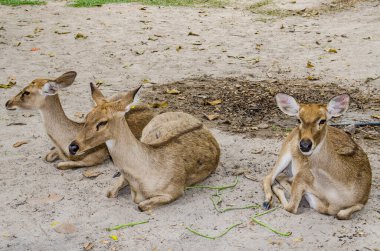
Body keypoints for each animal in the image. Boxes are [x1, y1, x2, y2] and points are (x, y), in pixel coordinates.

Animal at [4, 72, 153, 171]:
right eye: (86, 117)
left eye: (27, 92)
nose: (7, 103)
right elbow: (48, 156)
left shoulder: (95, 157)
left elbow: (61, 165)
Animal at [68, 83, 220, 211]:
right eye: (87, 116)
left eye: (102, 122)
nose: (73, 147)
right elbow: (110, 192)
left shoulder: (175, 191)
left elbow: (141, 206)